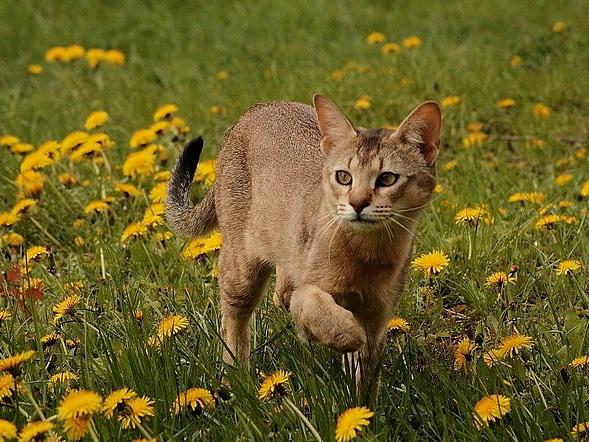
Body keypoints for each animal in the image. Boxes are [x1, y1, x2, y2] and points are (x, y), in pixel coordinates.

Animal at [165, 94, 440, 394]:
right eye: (344, 176)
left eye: (387, 178)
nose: (357, 204)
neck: (366, 255)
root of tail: (256, 110)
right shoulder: (312, 294)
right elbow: (315, 307)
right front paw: (346, 334)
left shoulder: (378, 315)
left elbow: (364, 379)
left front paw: (360, 404)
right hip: (241, 268)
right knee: (234, 321)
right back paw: (236, 380)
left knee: (281, 292)